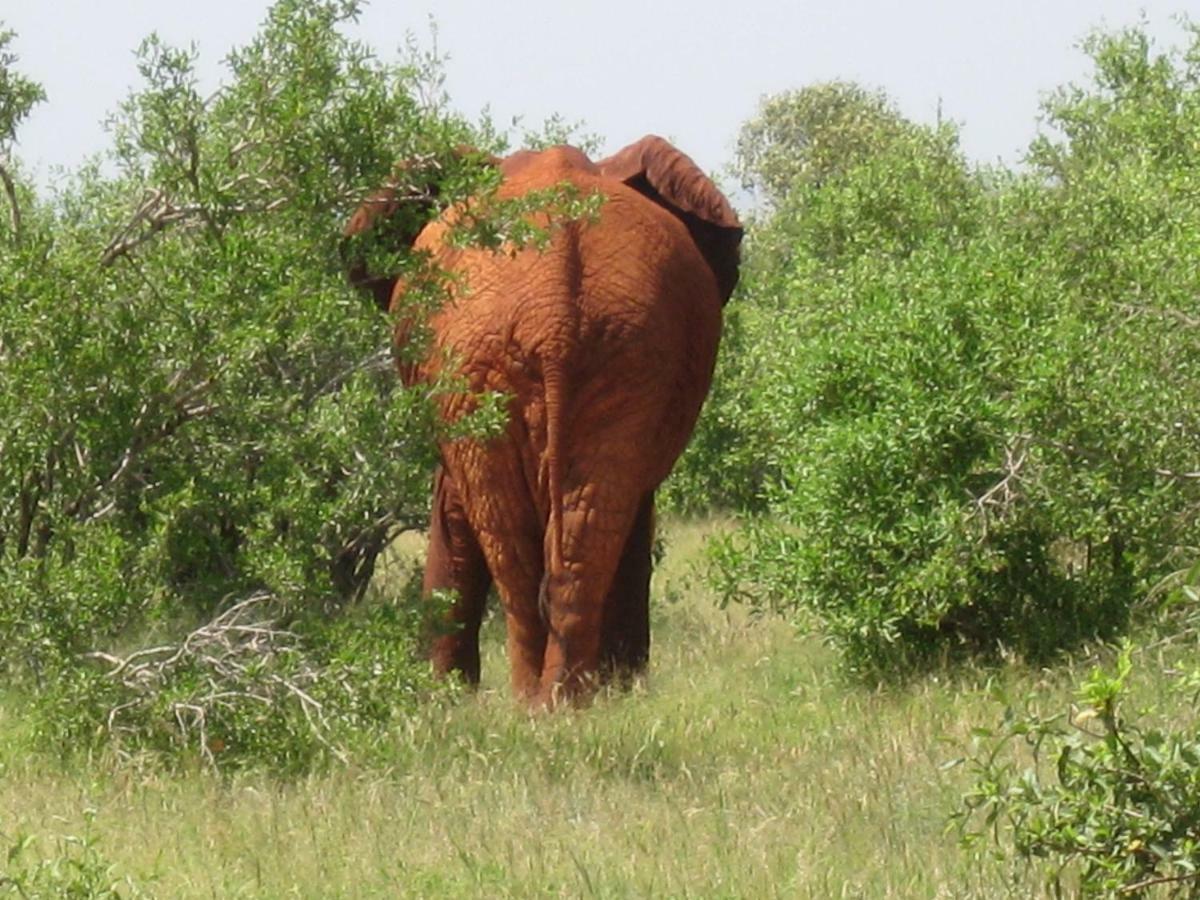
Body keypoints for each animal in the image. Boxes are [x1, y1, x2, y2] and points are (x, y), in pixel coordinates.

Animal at [345, 137, 739, 710]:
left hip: (481, 363)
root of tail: (554, 309)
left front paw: (441, 696)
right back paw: (565, 703)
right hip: (625, 353)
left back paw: (534, 703)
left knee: (511, 537)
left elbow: (450, 506)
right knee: (581, 528)